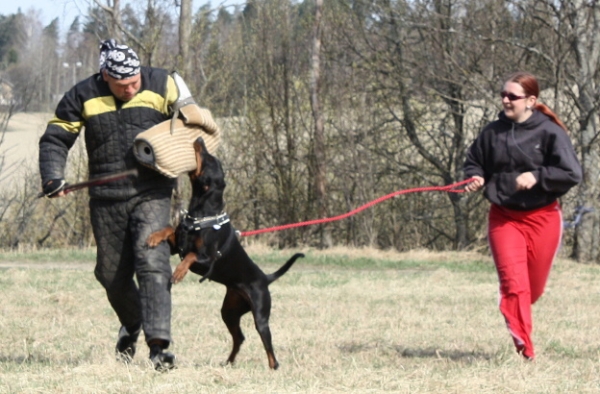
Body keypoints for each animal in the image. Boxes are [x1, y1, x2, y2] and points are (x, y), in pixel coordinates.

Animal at [148, 136, 302, 370]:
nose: (199, 138)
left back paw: (272, 367)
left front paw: (178, 273)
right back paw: (228, 362)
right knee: (239, 337)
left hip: (260, 314)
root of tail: (265, 278)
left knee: (267, 344)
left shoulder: (206, 260)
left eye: (209, 159)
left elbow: (192, 256)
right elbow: (169, 230)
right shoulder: (179, 245)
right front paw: (155, 236)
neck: (200, 214)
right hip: (229, 311)